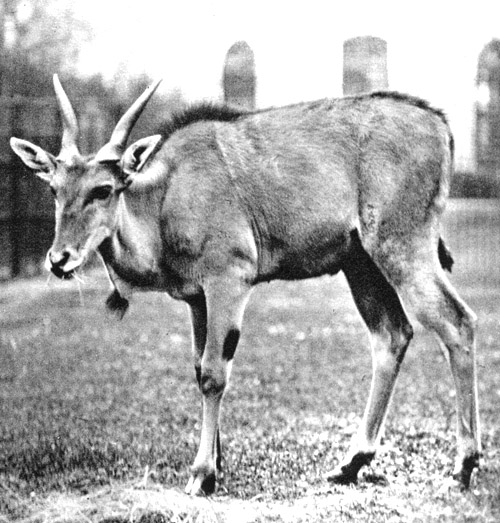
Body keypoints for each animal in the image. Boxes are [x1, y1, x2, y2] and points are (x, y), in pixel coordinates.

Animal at [9, 73, 480, 496]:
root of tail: (438, 124)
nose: (58, 259)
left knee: (457, 323)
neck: (167, 194)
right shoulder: (197, 300)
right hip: (360, 264)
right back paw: (351, 463)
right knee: (392, 335)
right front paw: (216, 464)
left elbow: (214, 374)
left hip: (401, 247)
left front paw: (203, 474)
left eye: (103, 189)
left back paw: (464, 466)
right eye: (54, 189)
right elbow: (198, 368)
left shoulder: (229, 280)